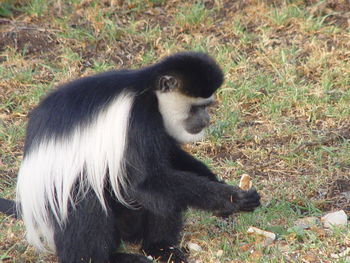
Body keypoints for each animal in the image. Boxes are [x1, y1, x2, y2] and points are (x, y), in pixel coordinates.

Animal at [0, 52, 260, 263]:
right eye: (196, 107)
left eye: (207, 106)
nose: (206, 120)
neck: (149, 92)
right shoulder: (140, 117)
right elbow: (147, 181)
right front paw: (231, 199)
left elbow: (168, 158)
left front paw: (219, 185)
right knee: (86, 195)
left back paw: (161, 249)